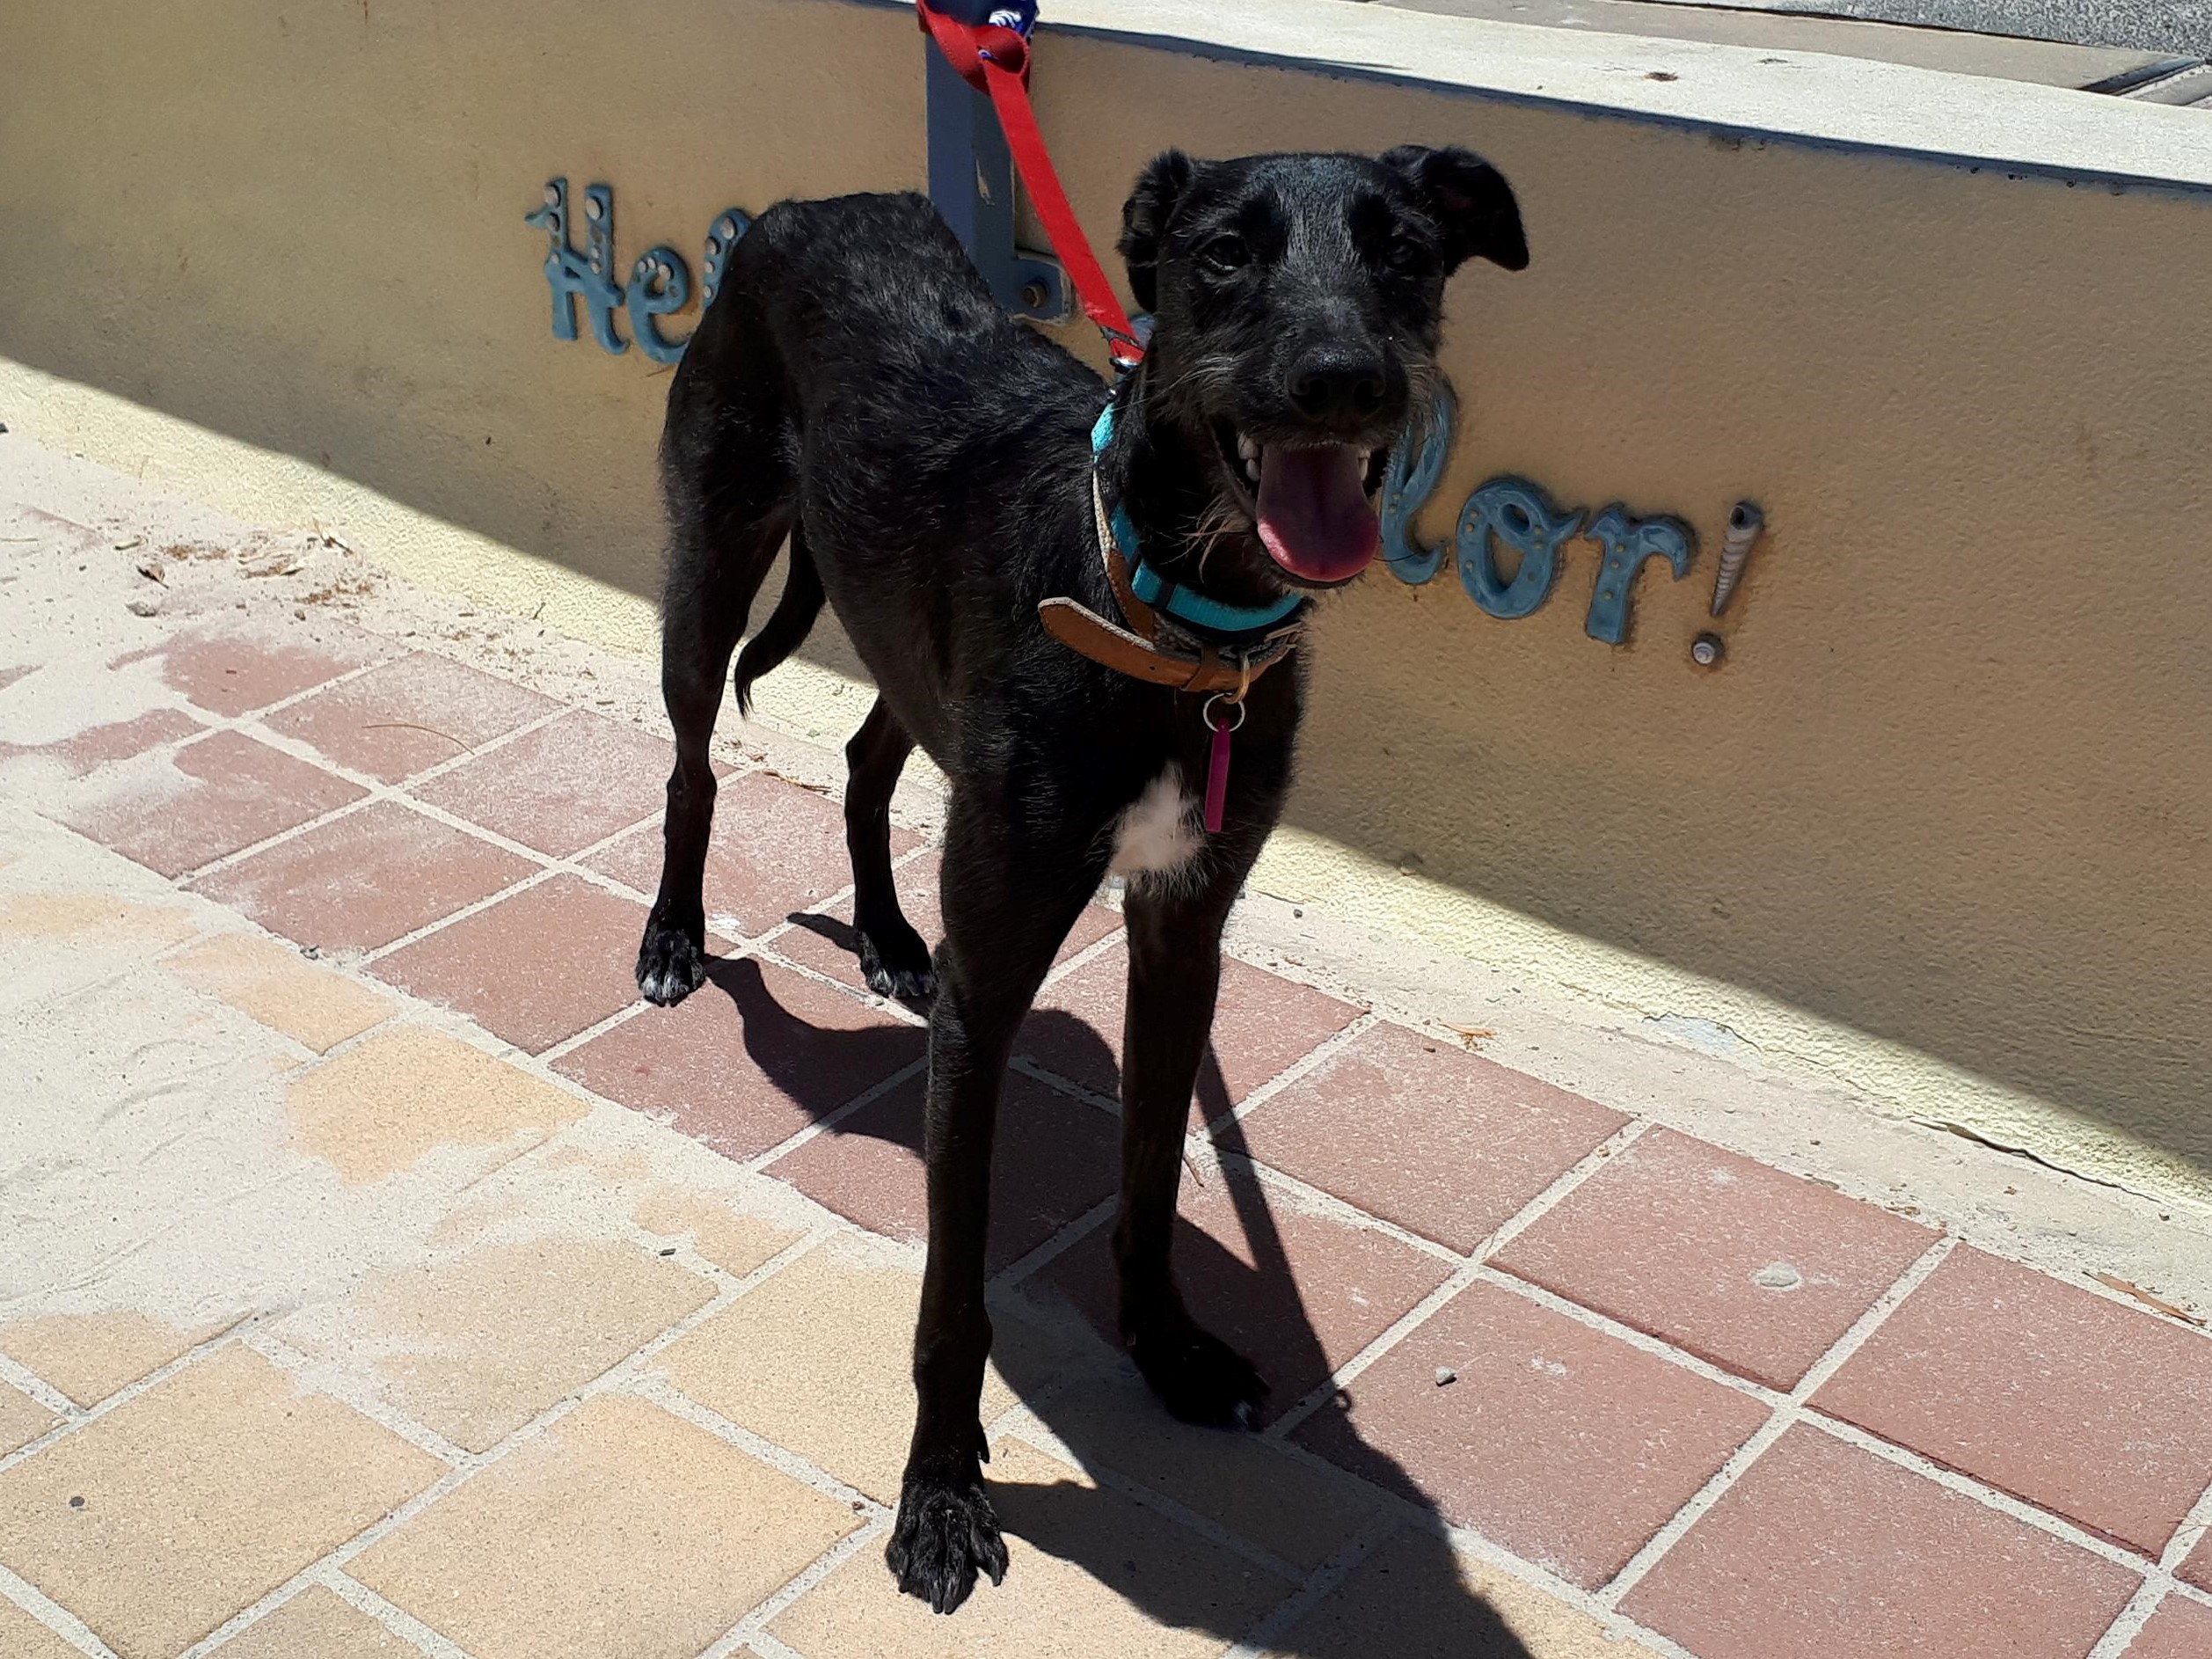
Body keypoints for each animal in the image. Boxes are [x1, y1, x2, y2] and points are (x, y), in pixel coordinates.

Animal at [635, 144, 1526, 1613]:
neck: (1175, 618)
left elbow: (1154, 1179)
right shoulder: (991, 986)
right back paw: (672, 937)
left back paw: (887, 935)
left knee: (867, 755)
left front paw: (1164, 1347)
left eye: (1402, 250)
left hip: (905, 646)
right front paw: (940, 1495)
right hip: (710, 559)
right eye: (1222, 254)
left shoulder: (1181, 938)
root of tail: (812, 208)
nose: (1344, 377)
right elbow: (952, 1295)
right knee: (693, 766)